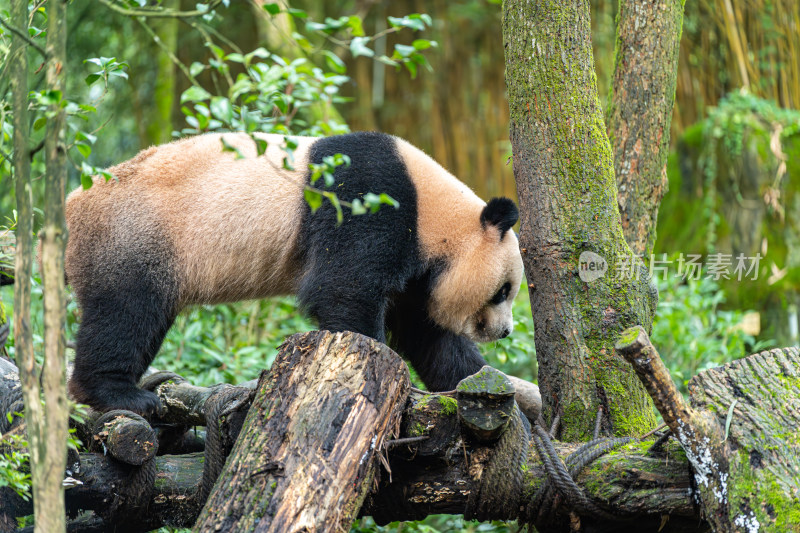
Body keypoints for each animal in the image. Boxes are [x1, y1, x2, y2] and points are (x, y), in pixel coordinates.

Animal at [67, 131, 524, 414]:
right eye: (503, 291)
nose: (504, 332)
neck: (432, 211)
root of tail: (73, 204)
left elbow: (425, 333)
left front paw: (477, 382)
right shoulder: (369, 202)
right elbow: (343, 290)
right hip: (134, 236)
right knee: (125, 314)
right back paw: (120, 395)